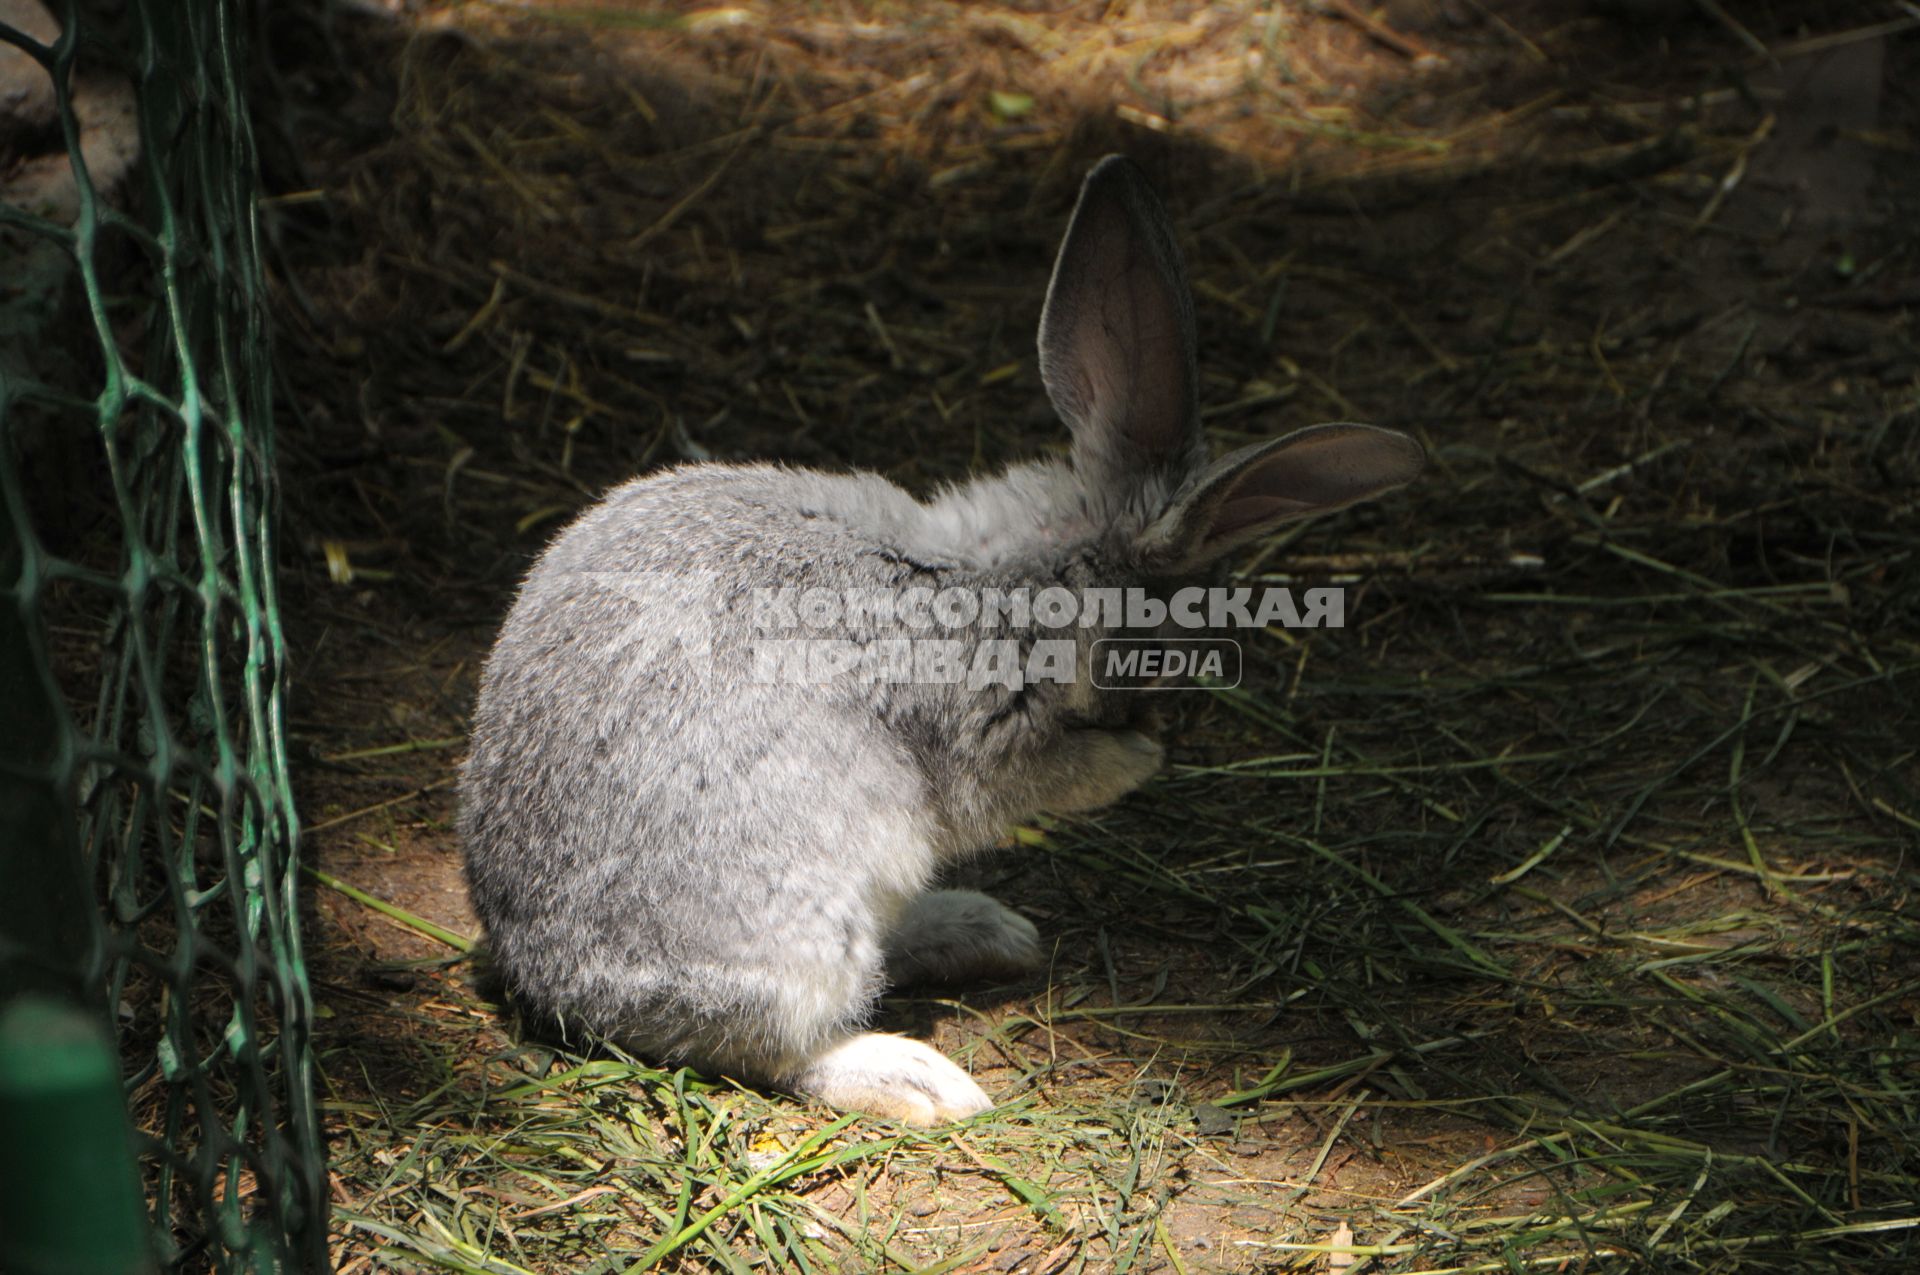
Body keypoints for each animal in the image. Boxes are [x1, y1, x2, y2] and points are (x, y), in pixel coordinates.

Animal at [460, 154, 1428, 1121]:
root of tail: (543, 974)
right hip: (808, 913)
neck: (1015, 572)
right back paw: (922, 1079)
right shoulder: (989, 731)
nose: (1158, 722)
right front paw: (1134, 760)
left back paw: (985, 930)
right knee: (774, 1048)